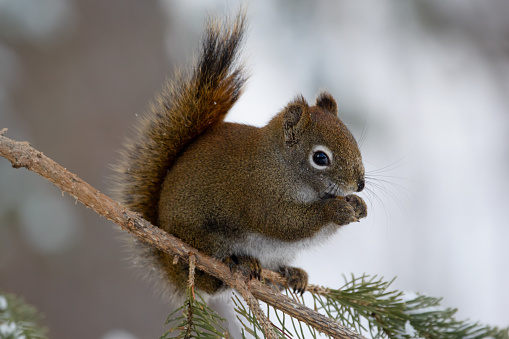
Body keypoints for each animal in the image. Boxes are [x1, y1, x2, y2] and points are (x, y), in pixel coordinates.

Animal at [112, 12, 366, 300]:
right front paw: (335, 209)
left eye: (352, 138)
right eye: (320, 158)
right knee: (209, 279)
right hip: (204, 239)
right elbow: (283, 222)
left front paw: (358, 204)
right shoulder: (259, 192)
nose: (360, 184)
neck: (282, 165)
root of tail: (168, 265)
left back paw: (291, 273)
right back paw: (239, 262)